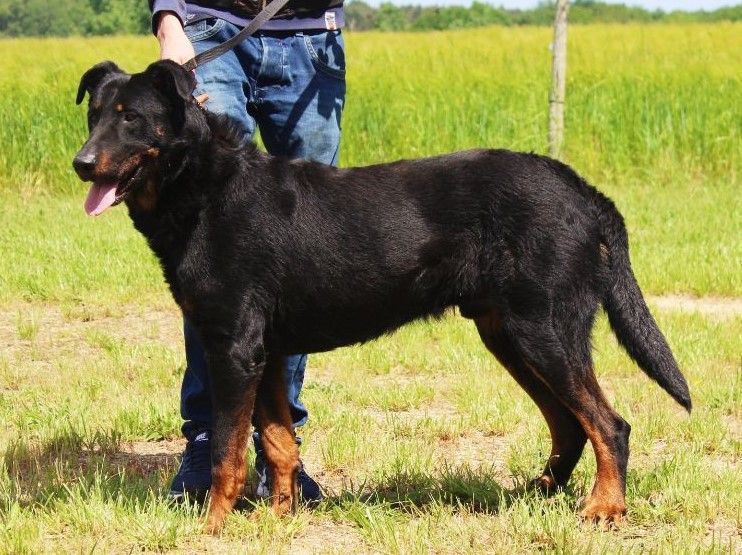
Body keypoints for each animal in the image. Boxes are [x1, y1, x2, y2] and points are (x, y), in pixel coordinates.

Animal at [73, 60, 691, 533]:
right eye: (94, 115)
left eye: (132, 119)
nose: (81, 163)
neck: (205, 188)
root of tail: (584, 192)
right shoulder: (266, 352)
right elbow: (278, 442)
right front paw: (278, 518)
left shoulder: (234, 348)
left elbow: (229, 451)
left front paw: (213, 527)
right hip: (510, 335)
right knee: (569, 424)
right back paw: (536, 493)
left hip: (545, 330)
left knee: (609, 424)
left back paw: (604, 508)